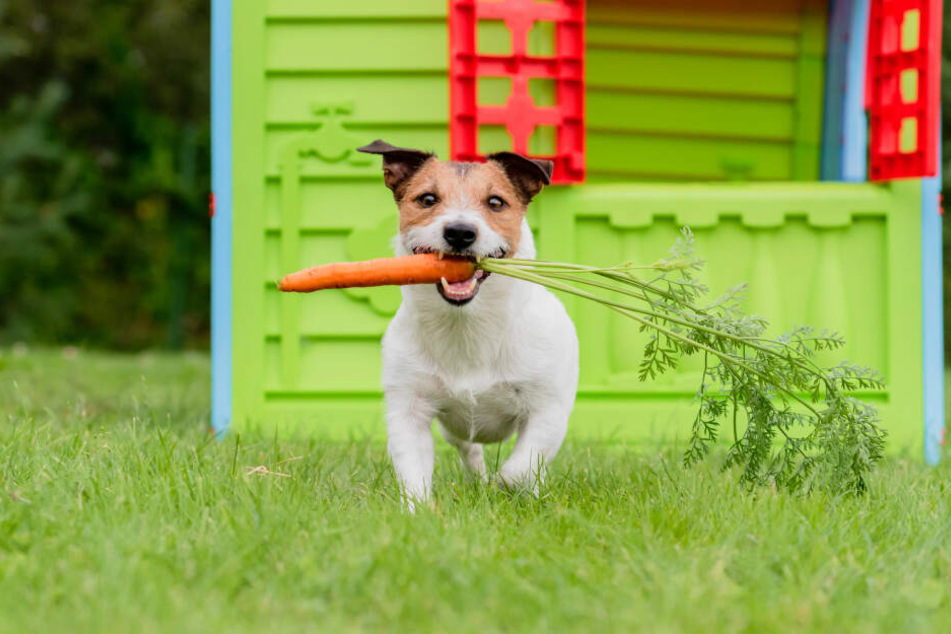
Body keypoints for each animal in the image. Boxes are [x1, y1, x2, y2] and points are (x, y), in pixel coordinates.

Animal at [356, 141, 580, 506]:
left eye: (495, 202)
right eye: (427, 199)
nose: (460, 232)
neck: (467, 326)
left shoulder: (548, 410)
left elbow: (520, 468)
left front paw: (505, 488)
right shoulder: (409, 408)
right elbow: (412, 471)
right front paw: (419, 511)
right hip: (454, 428)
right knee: (470, 450)